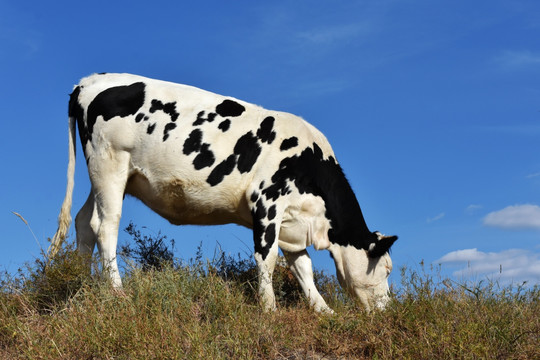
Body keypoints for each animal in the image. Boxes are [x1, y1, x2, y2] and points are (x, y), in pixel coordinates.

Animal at [49, 73, 396, 312]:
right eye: (387, 269)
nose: (388, 310)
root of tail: (90, 81)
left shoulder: (293, 223)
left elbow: (303, 269)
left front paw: (324, 311)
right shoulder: (267, 201)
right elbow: (267, 258)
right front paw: (269, 309)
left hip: (109, 175)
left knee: (83, 222)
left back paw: (79, 281)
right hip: (110, 163)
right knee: (105, 226)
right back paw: (117, 291)